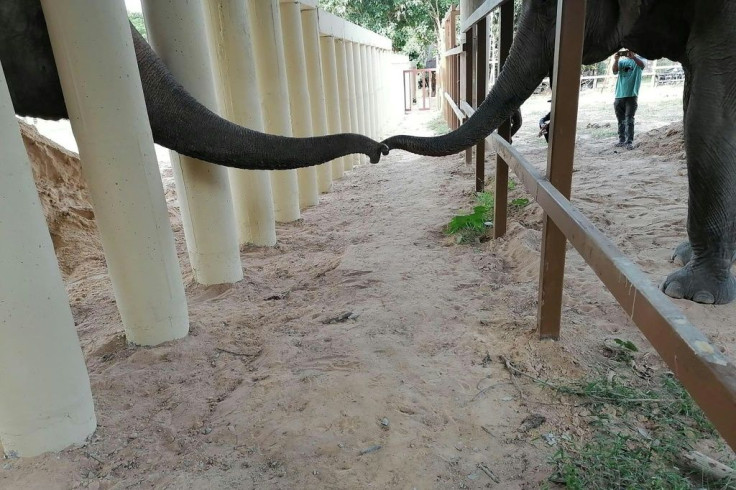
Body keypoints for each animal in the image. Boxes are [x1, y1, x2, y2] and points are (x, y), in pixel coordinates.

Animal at [386, 0, 736, 306]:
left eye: (545, 8)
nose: (382, 147)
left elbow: (709, 114)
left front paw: (691, 294)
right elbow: (695, 104)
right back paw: (683, 255)